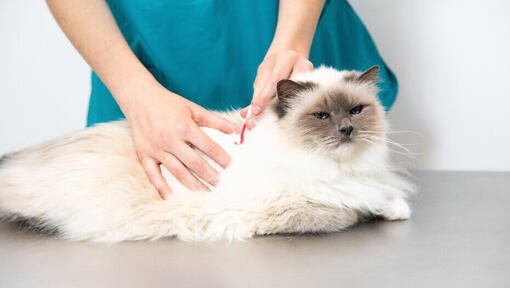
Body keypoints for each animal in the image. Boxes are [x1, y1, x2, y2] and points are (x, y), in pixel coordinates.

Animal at [0, 66, 410, 242]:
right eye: (322, 116)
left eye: (355, 111)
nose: (346, 131)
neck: (336, 168)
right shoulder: (283, 210)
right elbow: (346, 213)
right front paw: (371, 212)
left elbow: (381, 197)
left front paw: (395, 210)